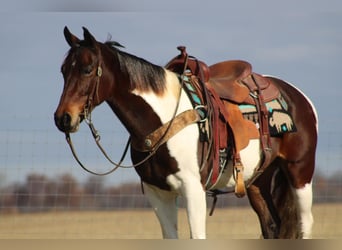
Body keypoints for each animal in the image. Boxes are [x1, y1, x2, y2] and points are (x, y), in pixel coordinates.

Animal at [54, 26, 318, 239]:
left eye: (88, 69)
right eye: (63, 70)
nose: (62, 118)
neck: (162, 117)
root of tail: (298, 95)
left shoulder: (193, 190)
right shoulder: (158, 193)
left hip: (300, 172)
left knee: (305, 223)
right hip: (257, 180)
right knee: (272, 226)